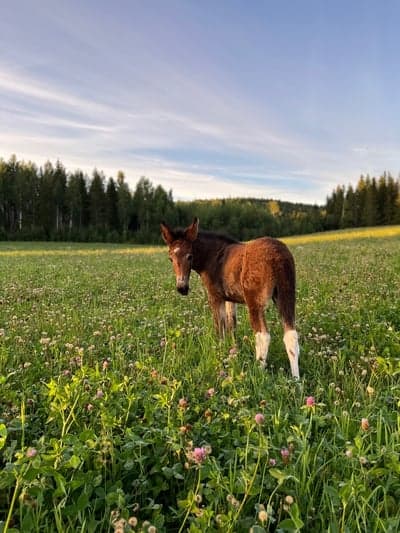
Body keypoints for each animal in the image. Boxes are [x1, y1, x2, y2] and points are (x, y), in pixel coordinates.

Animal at [160, 217, 300, 378]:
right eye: (170, 258)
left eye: (190, 256)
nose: (182, 288)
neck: (211, 257)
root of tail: (278, 258)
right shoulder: (230, 298)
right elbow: (231, 324)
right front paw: (233, 350)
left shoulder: (215, 296)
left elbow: (219, 328)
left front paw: (220, 353)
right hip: (286, 294)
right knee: (291, 335)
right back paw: (296, 380)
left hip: (255, 300)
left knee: (263, 335)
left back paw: (257, 372)